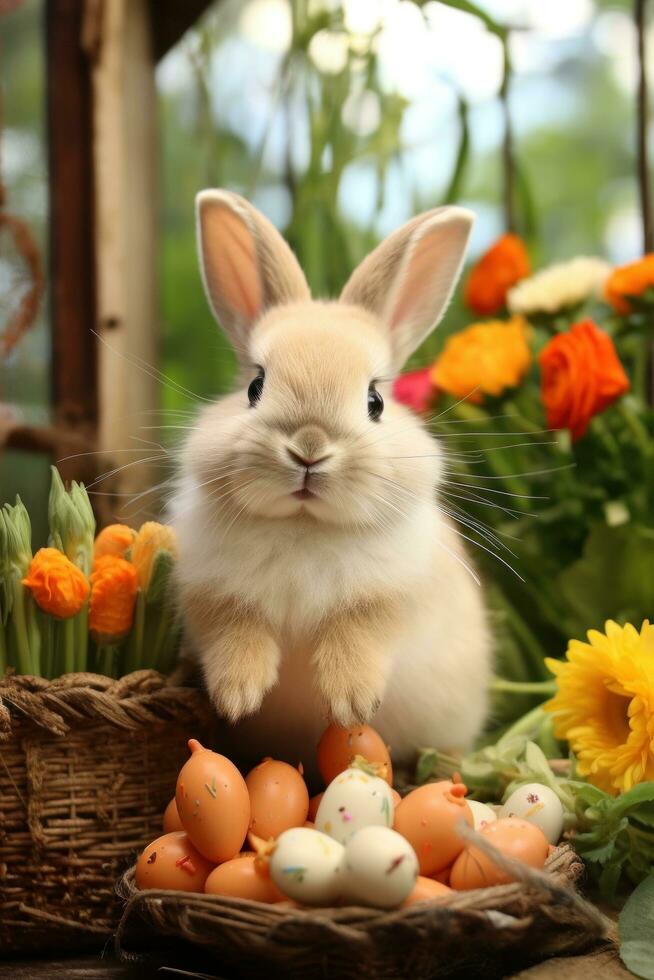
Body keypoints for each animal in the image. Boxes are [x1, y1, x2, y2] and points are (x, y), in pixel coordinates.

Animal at [172, 189, 494, 772]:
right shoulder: (213, 598)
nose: (309, 448)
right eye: (255, 386)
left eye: (376, 401)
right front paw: (238, 696)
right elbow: (237, 633)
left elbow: (358, 637)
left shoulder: (387, 602)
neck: (305, 526)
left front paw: (351, 704)